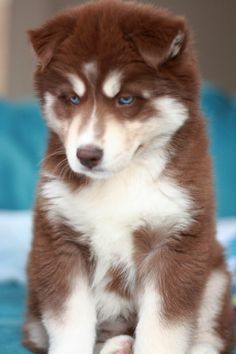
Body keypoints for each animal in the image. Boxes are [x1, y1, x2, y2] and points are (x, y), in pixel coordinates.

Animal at [22, 0, 234, 354]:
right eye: (72, 98)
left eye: (126, 99)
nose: (87, 155)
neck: (123, 177)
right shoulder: (60, 240)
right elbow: (70, 322)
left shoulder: (174, 241)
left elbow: (164, 328)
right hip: (35, 309)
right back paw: (118, 344)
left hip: (215, 276)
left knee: (210, 334)